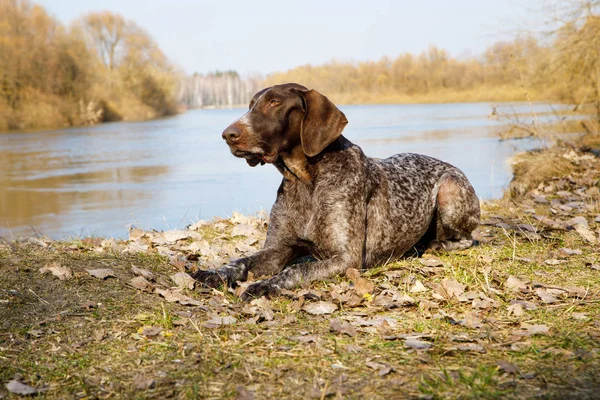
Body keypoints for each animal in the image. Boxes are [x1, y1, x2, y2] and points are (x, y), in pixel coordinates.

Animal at [195, 82, 480, 300]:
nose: (228, 135)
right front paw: (215, 272)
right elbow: (241, 261)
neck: (305, 182)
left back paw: (436, 245)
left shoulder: (346, 258)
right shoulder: (278, 249)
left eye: (274, 103)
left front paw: (265, 285)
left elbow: (294, 271)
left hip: (449, 188)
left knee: (467, 239)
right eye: (251, 105)